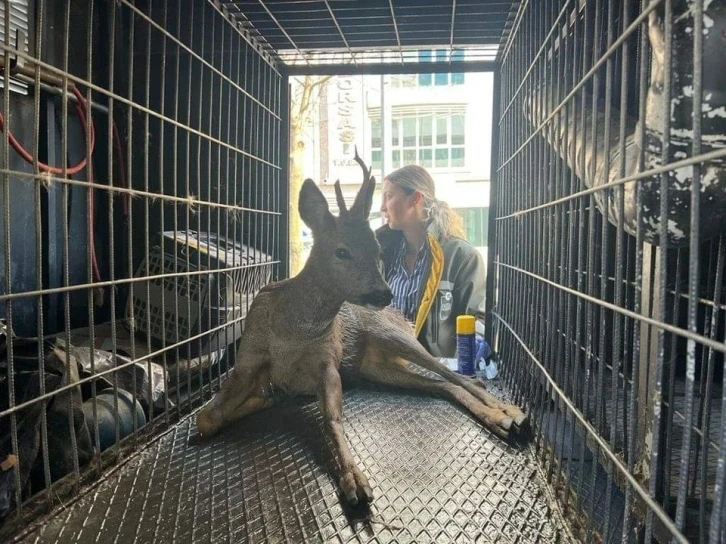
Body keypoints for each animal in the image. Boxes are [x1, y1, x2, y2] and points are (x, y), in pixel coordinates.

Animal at [193, 150, 528, 506]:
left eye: (377, 250)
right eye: (342, 251)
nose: (384, 293)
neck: (292, 331)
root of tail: (401, 317)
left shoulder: (328, 360)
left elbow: (333, 419)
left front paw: (354, 480)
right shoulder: (248, 361)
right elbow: (206, 418)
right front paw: (268, 400)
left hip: (392, 334)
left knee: (460, 377)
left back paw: (509, 413)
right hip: (376, 368)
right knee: (443, 385)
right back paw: (502, 420)